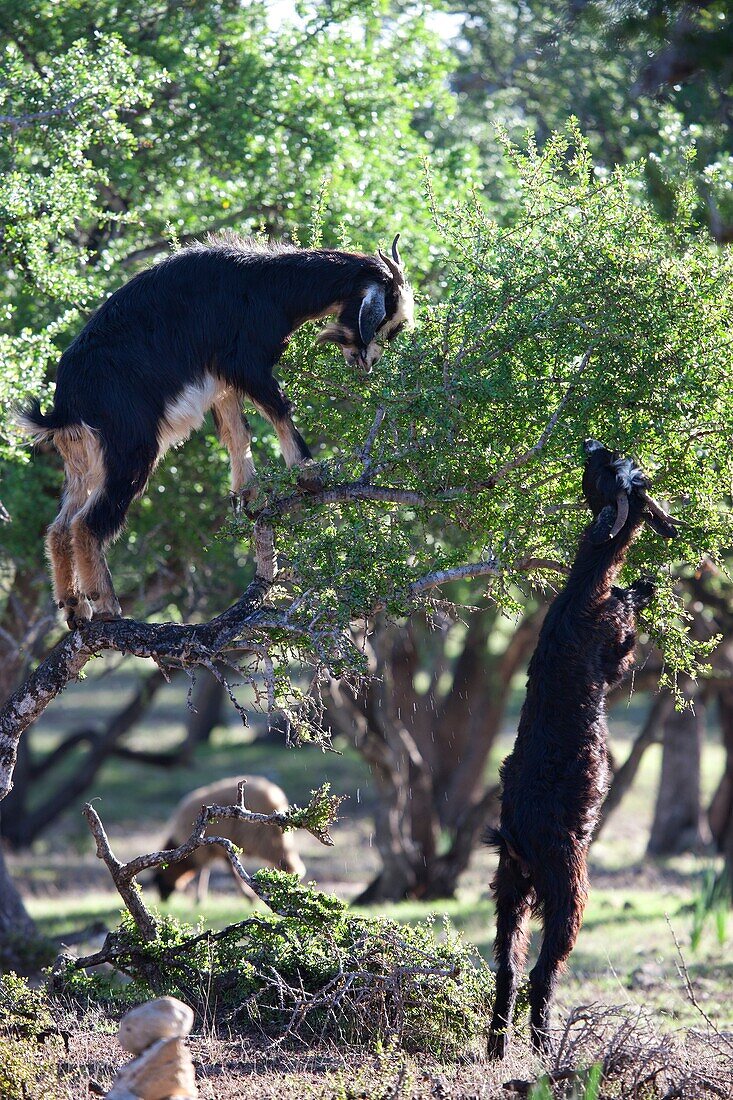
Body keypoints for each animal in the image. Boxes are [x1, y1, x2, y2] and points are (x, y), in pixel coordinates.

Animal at [18, 232, 411, 629]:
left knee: (60, 527)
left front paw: (249, 494)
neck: (269, 284)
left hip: (84, 461)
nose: (368, 362)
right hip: (130, 450)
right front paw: (308, 474)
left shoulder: (221, 381)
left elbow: (239, 433)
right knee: (87, 525)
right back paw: (107, 606)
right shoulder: (246, 362)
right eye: (388, 319)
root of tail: (65, 407)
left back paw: (74, 607)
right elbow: (280, 408)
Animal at [151, 774, 305, 902]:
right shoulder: (217, 849)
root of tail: (277, 796)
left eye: (159, 879)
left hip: (265, 836)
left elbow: (207, 870)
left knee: (285, 859)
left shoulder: (205, 851)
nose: (163, 900)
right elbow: (228, 868)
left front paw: (199, 898)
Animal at [484, 437, 677, 1056]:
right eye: (611, 470)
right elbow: (625, 646)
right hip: (566, 881)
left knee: (508, 963)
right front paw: (645, 587)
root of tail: (517, 834)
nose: (593, 443)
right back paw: (546, 1048)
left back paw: (497, 1052)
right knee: (544, 967)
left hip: (509, 885)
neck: (580, 592)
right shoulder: (613, 654)